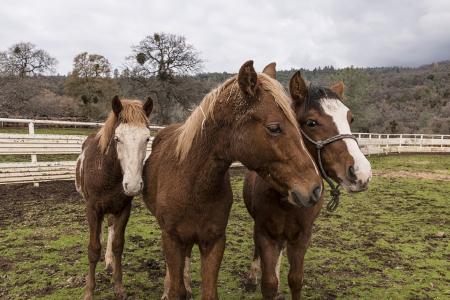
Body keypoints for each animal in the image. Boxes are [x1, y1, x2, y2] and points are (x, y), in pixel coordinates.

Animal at [76, 96, 154, 300]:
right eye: (117, 138)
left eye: (147, 138)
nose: (133, 185)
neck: (108, 172)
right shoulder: (92, 209)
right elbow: (93, 248)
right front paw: (89, 291)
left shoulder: (123, 209)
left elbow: (118, 245)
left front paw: (119, 286)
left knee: (110, 227)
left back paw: (109, 262)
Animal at [142, 61, 322, 300]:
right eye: (274, 128)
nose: (315, 188)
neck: (192, 185)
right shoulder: (172, 239)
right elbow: (176, 289)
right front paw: (173, 288)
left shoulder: (214, 242)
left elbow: (208, 292)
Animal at [244, 66, 370, 300]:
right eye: (312, 122)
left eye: (350, 118)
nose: (361, 172)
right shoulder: (265, 232)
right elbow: (269, 283)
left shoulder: (302, 236)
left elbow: (295, 280)